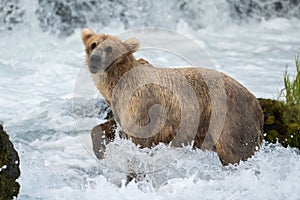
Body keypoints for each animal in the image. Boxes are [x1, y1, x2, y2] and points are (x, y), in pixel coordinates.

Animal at [81, 28, 262, 166]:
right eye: (93, 44)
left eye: (109, 48)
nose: (95, 59)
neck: (116, 83)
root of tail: (255, 102)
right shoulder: (121, 106)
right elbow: (110, 127)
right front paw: (101, 151)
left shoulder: (141, 103)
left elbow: (140, 138)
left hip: (230, 119)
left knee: (236, 153)